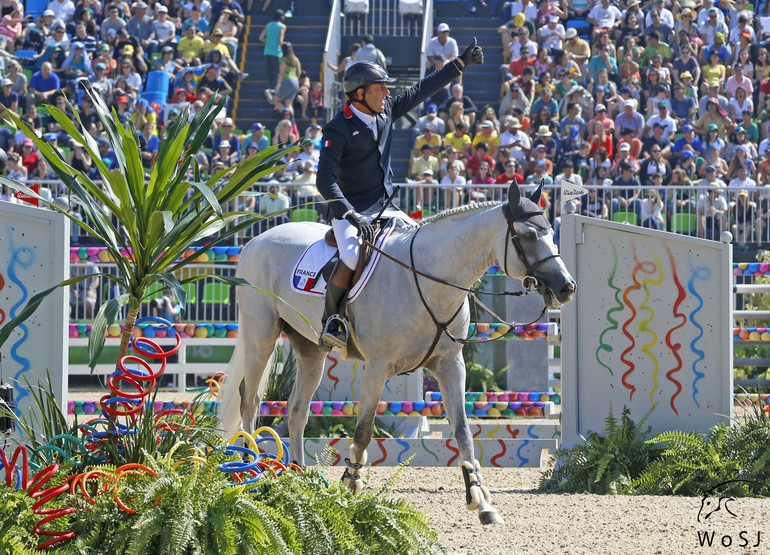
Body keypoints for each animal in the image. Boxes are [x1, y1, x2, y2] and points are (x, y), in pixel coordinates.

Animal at [219, 184, 572, 524]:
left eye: (552, 233)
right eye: (528, 235)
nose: (566, 287)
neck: (431, 279)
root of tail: (256, 240)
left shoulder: (450, 365)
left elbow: (463, 432)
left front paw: (481, 501)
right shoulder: (377, 367)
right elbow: (363, 430)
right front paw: (351, 485)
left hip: (310, 350)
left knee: (296, 410)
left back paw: (299, 478)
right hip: (261, 336)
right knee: (249, 399)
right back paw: (250, 469)